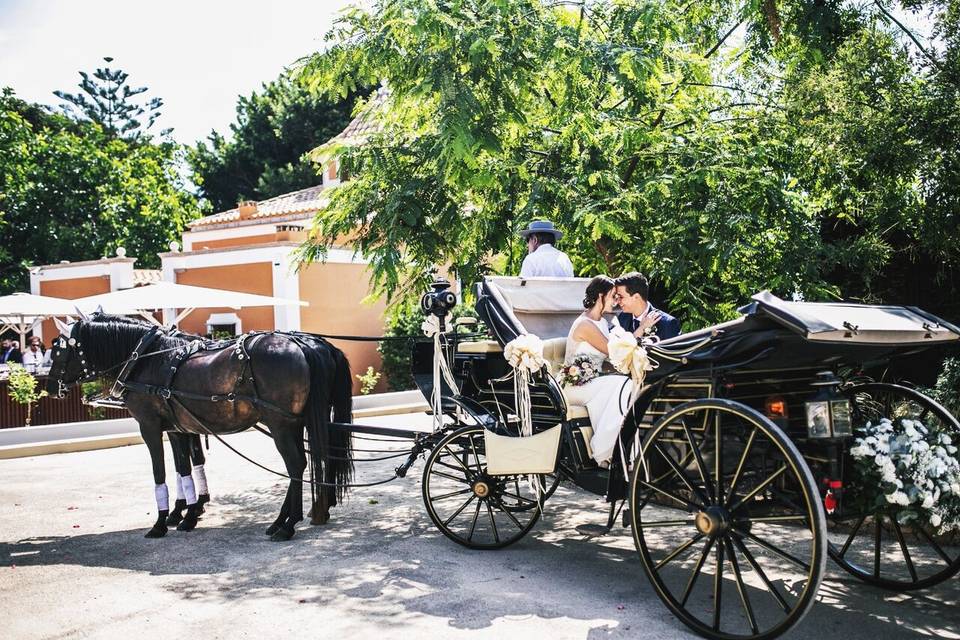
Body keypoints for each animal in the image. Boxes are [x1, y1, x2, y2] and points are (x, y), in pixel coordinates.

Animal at [47, 314, 354, 540]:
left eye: (58, 351)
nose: (50, 388)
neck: (148, 359)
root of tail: (304, 344)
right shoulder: (179, 428)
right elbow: (184, 468)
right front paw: (186, 514)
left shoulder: (150, 426)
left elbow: (161, 471)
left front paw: (162, 522)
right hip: (299, 422)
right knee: (312, 459)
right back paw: (296, 516)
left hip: (281, 424)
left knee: (296, 464)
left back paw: (288, 524)